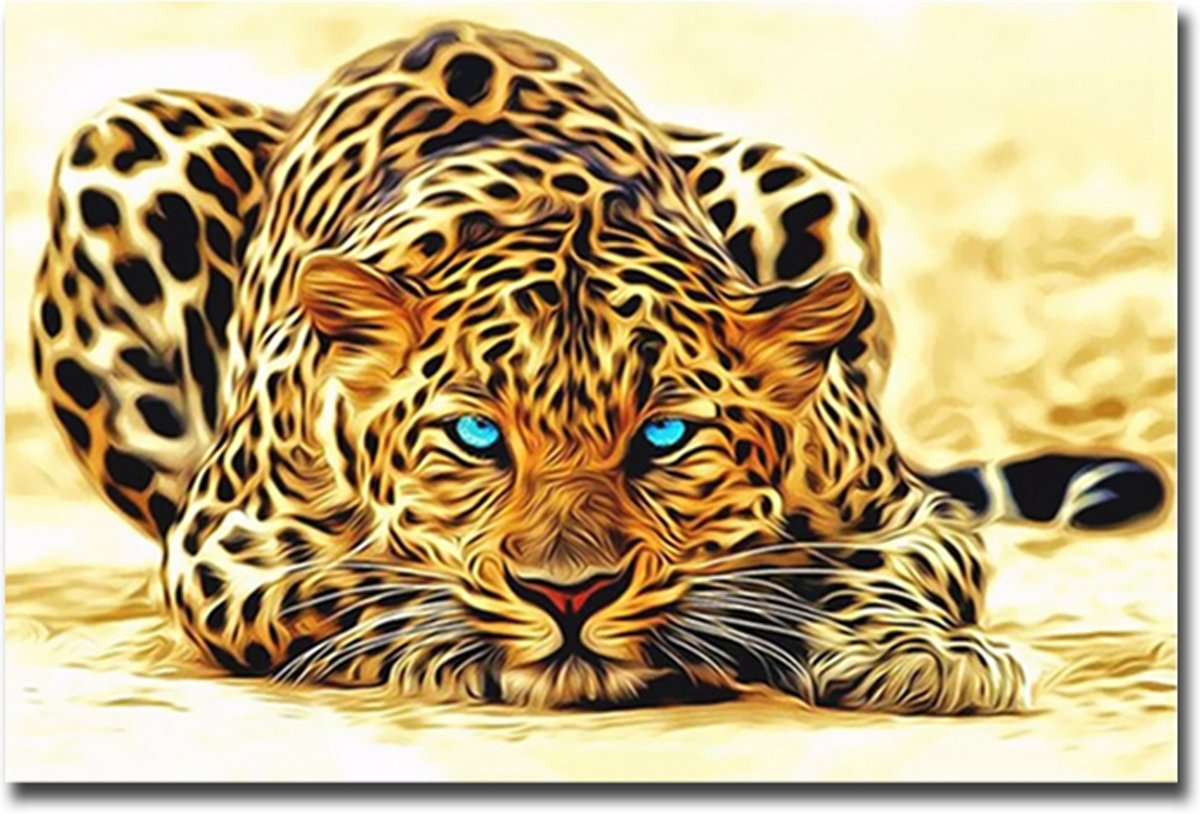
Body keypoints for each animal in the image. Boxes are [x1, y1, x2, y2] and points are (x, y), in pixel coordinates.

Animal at [30, 21, 1167, 713]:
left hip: (806, 182)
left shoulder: (906, 511)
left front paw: (912, 652)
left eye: (665, 435)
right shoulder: (225, 546)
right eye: (476, 435)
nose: (567, 597)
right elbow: (349, 587)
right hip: (118, 141)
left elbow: (875, 567)